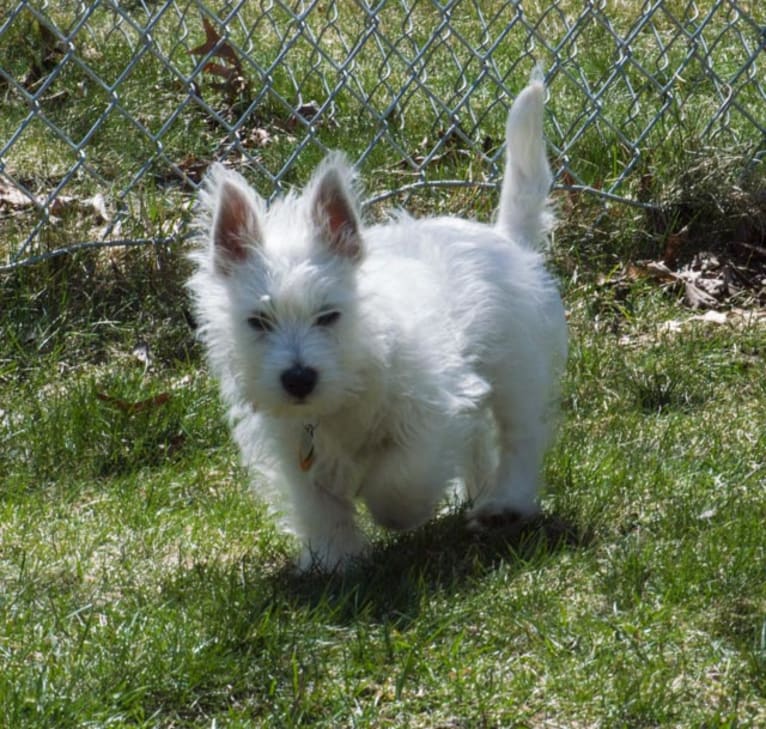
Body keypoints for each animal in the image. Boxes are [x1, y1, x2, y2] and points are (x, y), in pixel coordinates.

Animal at [188, 79, 568, 568]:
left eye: (329, 315)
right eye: (258, 322)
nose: (298, 379)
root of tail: (506, 237)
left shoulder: (429, 413)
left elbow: (398, 482)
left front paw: (397, 511)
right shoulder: (294, 447)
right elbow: (318, 503)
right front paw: (334, 560)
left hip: (516, 371)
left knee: (519, 437)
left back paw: (506, 503)